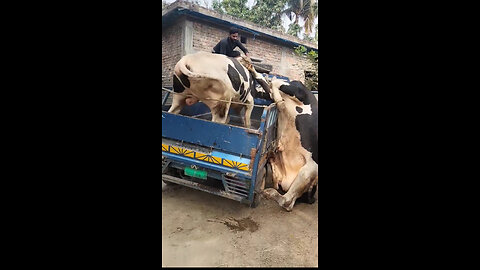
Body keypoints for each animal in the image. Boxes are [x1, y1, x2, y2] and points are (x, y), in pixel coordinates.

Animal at [260, 78, 316, 211]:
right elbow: (268, 85)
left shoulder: (298, 91)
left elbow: (274, 82)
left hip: (310, 168)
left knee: (287, 201)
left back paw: (268, 192)